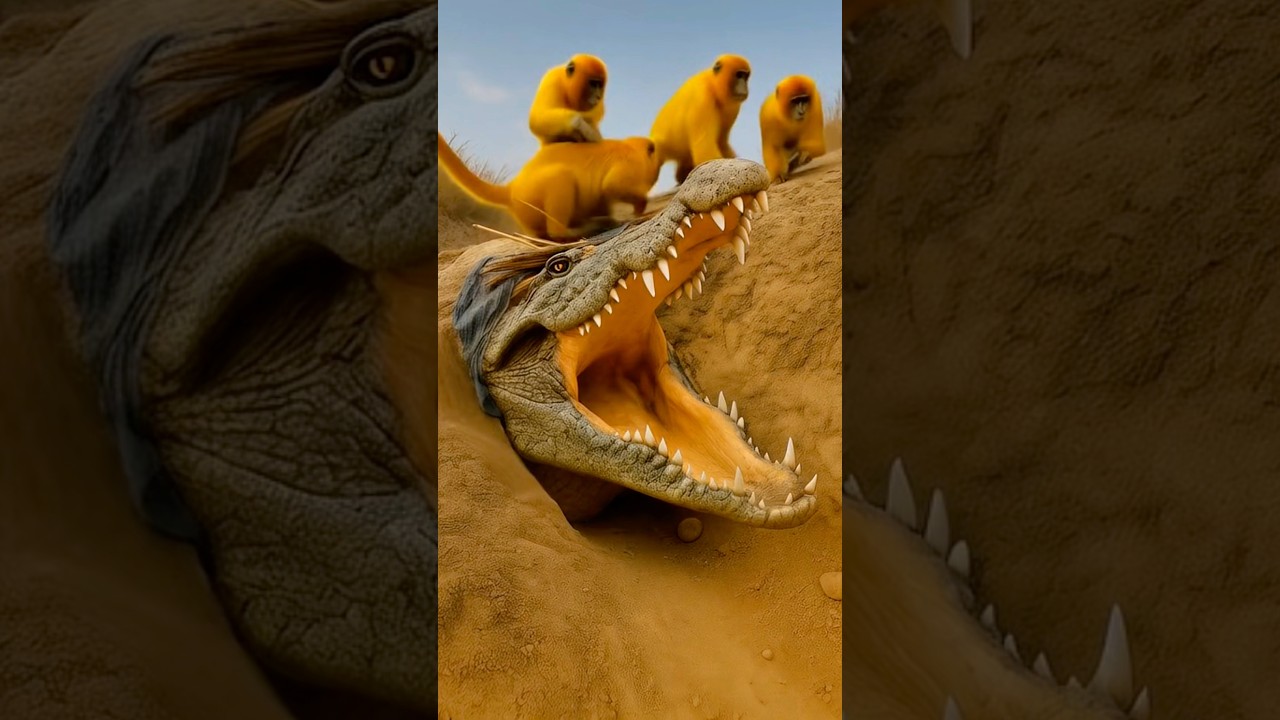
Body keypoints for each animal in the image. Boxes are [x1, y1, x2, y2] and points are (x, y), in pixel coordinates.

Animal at [437, 135, 659, 241]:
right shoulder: (626, 165)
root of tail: (512, 189)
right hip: (556, 182)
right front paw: (640, 206)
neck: (631, 148)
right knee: (556, 228)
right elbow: (613, 186)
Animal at [649, 54, 752, 184]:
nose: (744, 87)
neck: (713, 85)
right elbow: (704, 150)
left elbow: (722, 142)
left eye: (746, 76)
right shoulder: (702, 98)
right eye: (739, 75)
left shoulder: (733, 106)